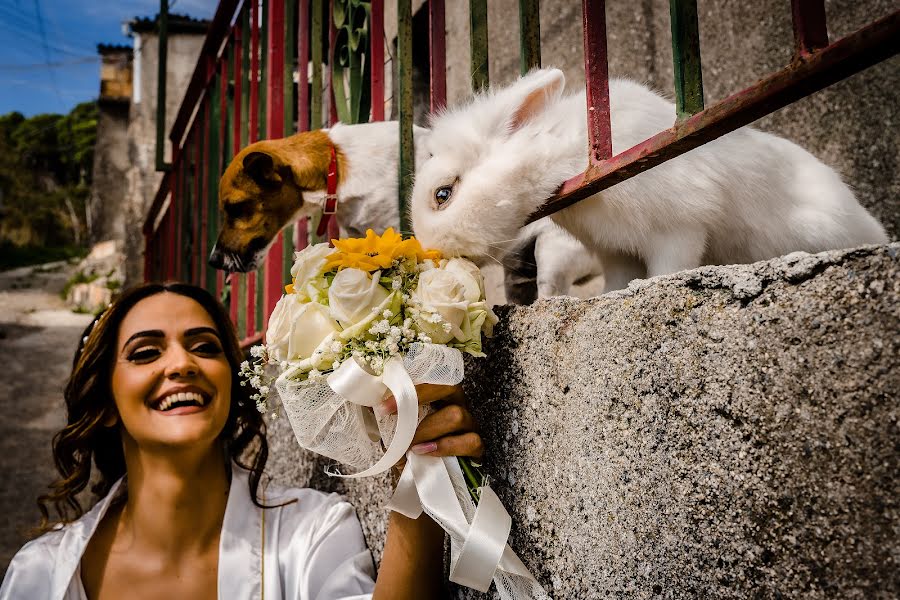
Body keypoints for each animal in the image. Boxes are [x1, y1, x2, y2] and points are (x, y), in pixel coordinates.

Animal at [412, 67, 888, 288]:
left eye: (442, 194)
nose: (432, 252)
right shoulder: (614, 250)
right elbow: (618, 278)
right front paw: (611, 296)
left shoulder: (679, 226)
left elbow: (670, 266)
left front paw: (651, 286)